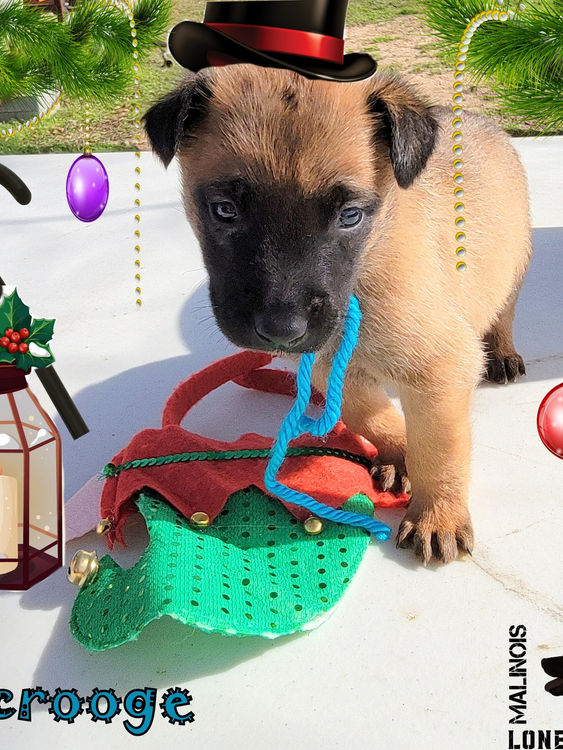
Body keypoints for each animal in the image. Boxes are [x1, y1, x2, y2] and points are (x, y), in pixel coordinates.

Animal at [144, 65, 531, 564]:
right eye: (224, 210)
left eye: (350, 216)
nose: (282, 331)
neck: (367, 269)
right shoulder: (330, 365)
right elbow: (365, 412)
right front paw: (398, 452)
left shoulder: (439, 369)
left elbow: (439, 447)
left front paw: (436, 514)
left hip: (514, 264)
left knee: (503, 312)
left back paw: (502, 353)